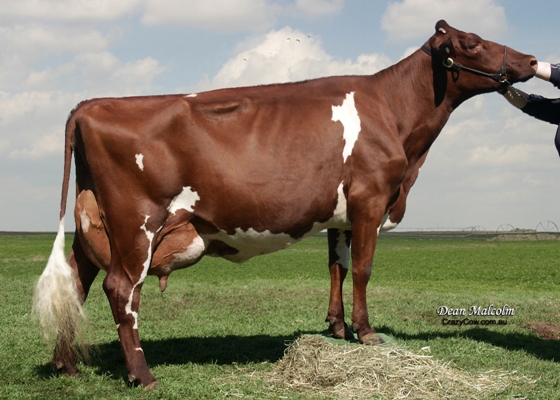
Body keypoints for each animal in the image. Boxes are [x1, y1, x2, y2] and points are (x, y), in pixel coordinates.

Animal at [32, 19, 536, 388]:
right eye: (471, 42)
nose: (531, 59)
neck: (395, 118)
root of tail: (92, 104)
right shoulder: (371, 200)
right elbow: (364, 269)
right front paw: (368, 333)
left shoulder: (341, 214)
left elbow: (338, 267)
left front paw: (336, 327)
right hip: (137, 222)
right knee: (120, 290)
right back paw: (144, 375)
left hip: (95, 224)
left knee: (77, 282)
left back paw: (66, 365)